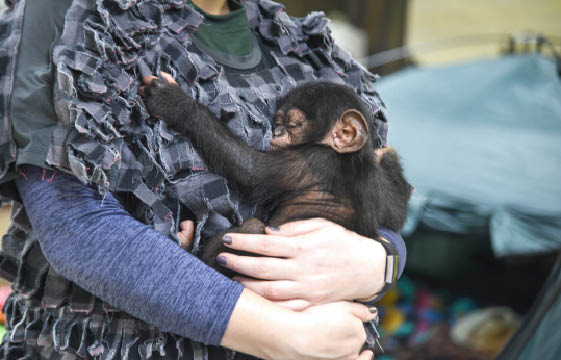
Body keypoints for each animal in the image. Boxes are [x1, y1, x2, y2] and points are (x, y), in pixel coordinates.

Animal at [140, 76, 412, 272]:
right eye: (278, 122)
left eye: (293, 124)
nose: (278, 131)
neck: (350, 156)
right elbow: (396, 213)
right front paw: (389, 158)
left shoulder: (313, 160)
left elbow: (250, 168)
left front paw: (175, 103)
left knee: (253, 228)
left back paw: (187, 242)